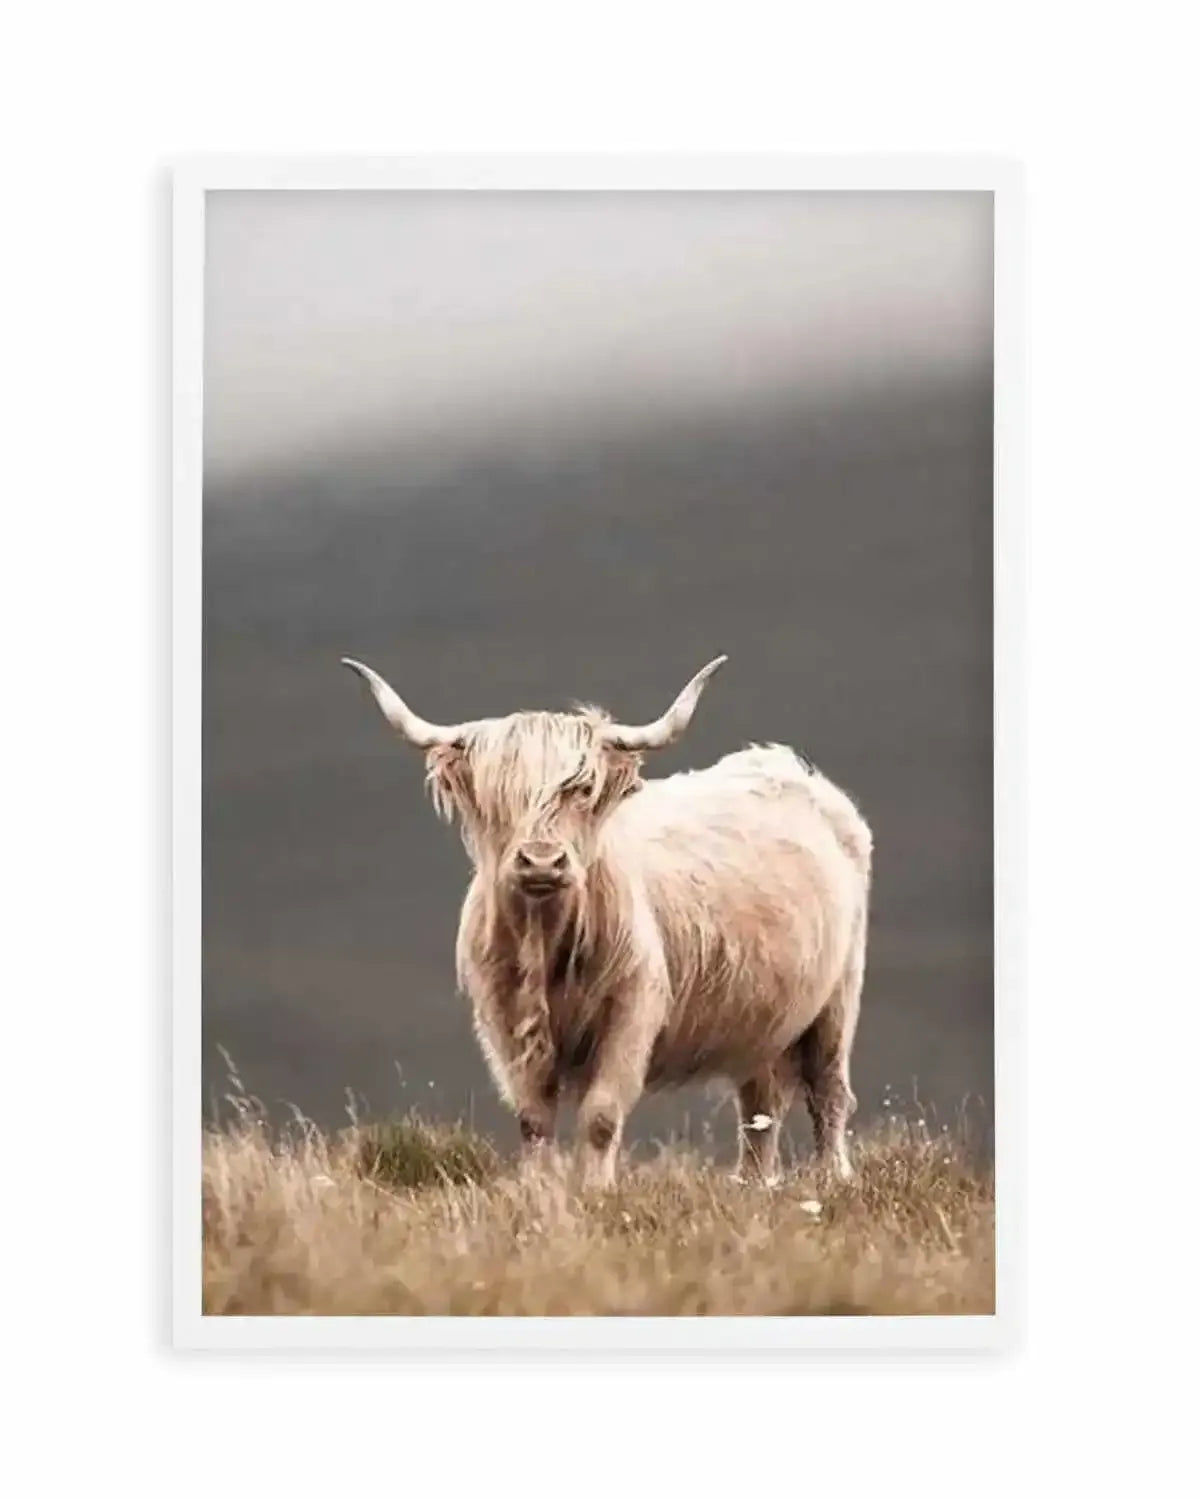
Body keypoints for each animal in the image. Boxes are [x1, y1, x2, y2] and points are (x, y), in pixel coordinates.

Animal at [342, 654, 872, 1190]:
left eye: (582, 789)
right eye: (499, 795)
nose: (541, 861)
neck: (547, 945)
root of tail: (781, 764)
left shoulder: (632, 1012)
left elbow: (600, 1115)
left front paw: (597, 1190)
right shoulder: (504, 1021)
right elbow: (533, 1119)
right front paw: (539, 1189)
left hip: (838, 998)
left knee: (828, 1091)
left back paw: (834, 1177)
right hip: (762, 1017)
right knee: (760, 1105)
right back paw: (753, 1184)